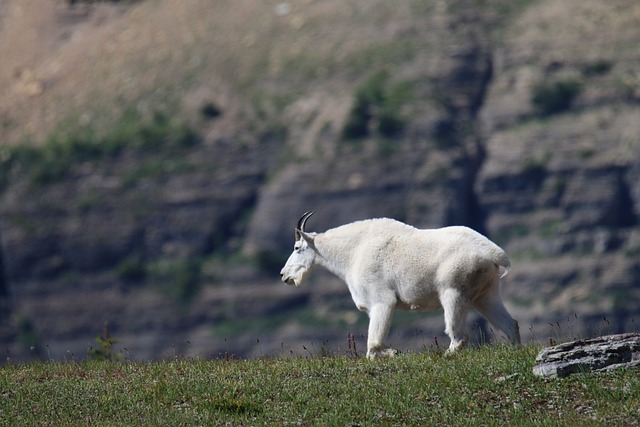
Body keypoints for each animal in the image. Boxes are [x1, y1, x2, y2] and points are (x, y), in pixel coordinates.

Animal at [280, 212, 520, 360]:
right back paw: (514, 349)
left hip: (454, 290)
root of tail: (494, 253)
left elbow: (372, 347)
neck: (352, 253)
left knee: (459, 335)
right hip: (486, 292)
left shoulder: (382, 300)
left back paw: (446, 354)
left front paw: (394, 352)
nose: (284, 275)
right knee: (509, 324)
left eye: (297, 247)